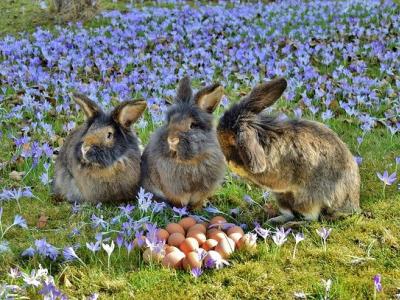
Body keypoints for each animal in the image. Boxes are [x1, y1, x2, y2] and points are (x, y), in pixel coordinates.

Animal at [141, 76, 227, 210]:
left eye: (192, 125)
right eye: (170, 121)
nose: (172, 139)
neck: (190, 161)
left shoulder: (203, 189)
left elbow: (198, 200)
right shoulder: (174, 189)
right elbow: (180, 200)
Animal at [217, 78, 360, 224]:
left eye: (233, 139)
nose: (227, 159)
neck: (263, 138)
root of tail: (351, 206)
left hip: (307, 199)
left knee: (310, 218)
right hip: (282, 198)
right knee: (288, 213)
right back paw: (273, 221)